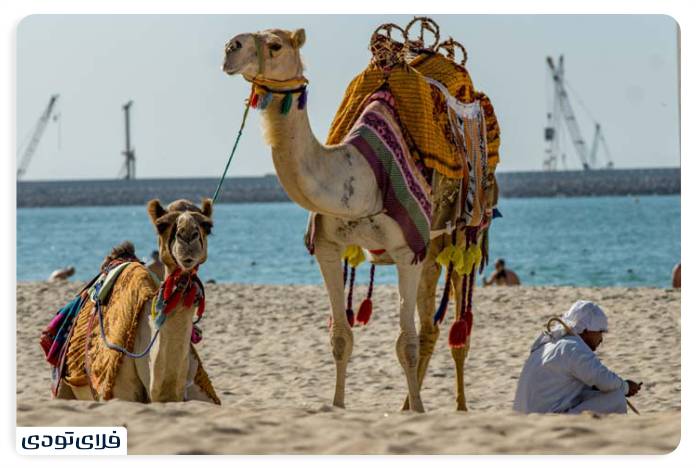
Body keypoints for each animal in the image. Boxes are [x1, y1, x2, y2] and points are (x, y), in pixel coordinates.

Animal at [222, 27, 495, 412]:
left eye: (275, 44)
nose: (230, 48)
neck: (362, 174)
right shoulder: (327, 245)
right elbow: (341, 336)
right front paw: (338, 405)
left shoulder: (406, 249)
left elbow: (405, 343)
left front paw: (420, 411)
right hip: (432, 248)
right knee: (430, 327)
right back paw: (406, 404)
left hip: (463, 234)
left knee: (457, 327)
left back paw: (457, 406)